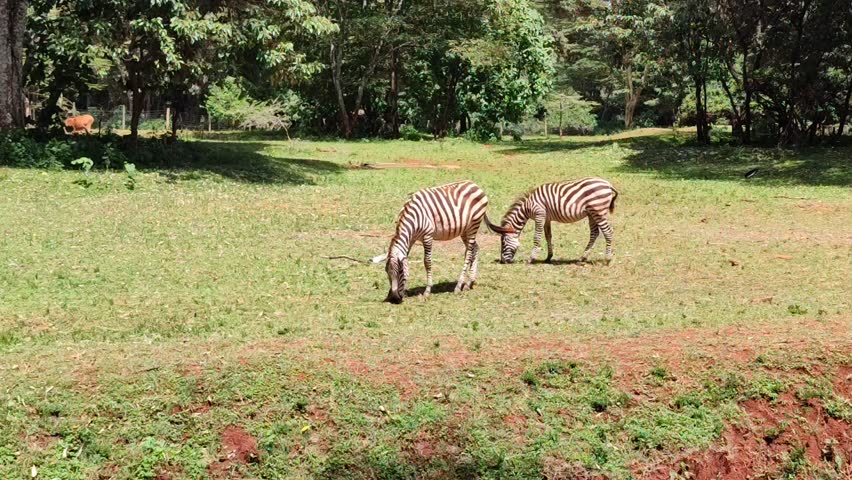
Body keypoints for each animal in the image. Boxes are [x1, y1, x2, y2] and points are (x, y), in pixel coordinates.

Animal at [485, 177, 618, 264]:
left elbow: (536, 237)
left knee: (608, 231)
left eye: (503, 243)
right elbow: (548, 236)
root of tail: (607, 184)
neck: (528, 207)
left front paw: (531, 258)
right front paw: (548, 257)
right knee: (595, 233)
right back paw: (582, 258)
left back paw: (607, 259)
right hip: (591, 214)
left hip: (598, 212)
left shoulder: (539, 215)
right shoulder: (546, 218)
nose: (503, 262)